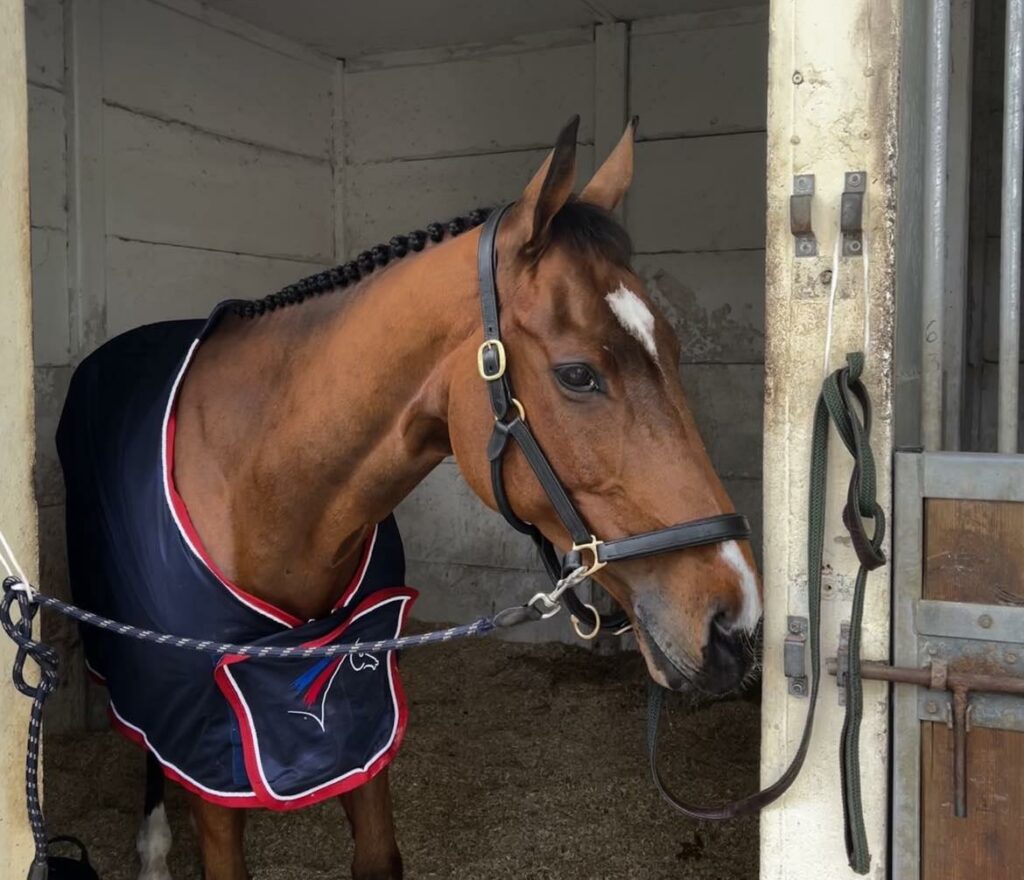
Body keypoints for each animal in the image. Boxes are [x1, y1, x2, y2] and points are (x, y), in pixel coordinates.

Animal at [56, 115, 761, 880]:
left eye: (676, 349)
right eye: (578, 375)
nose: (736, 622)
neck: (261, 486)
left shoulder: (362, 719)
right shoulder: (210, 748)